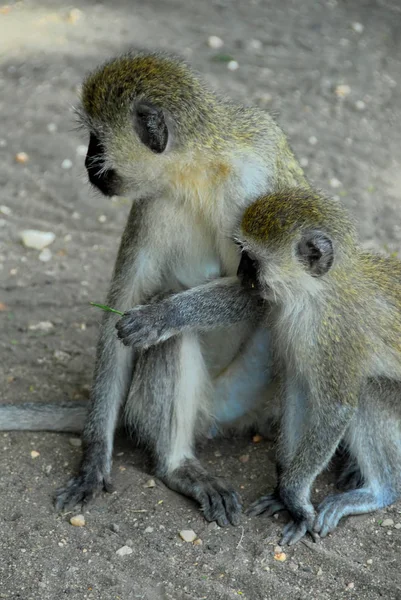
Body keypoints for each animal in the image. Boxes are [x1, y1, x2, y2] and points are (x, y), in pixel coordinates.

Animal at [1, 51, 304, 524]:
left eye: (96, 139)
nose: (86, 163)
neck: (198, 169)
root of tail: (229, 420)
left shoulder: (256, 182)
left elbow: (266, 290)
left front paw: (163, 314)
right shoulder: (153, 203)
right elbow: (120, 310)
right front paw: (94, 458)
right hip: (182, 404)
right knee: (171, 346)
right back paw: (177, 466)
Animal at [115, 190, 400, 548]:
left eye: (250, 258)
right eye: (242, 254)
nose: (239, 274)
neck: (318, 294)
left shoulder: (336, 336)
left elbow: (336, 408)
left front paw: (294, 495)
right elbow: (297, 391)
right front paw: (284, 492)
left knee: (368, 391)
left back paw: (380, 492)